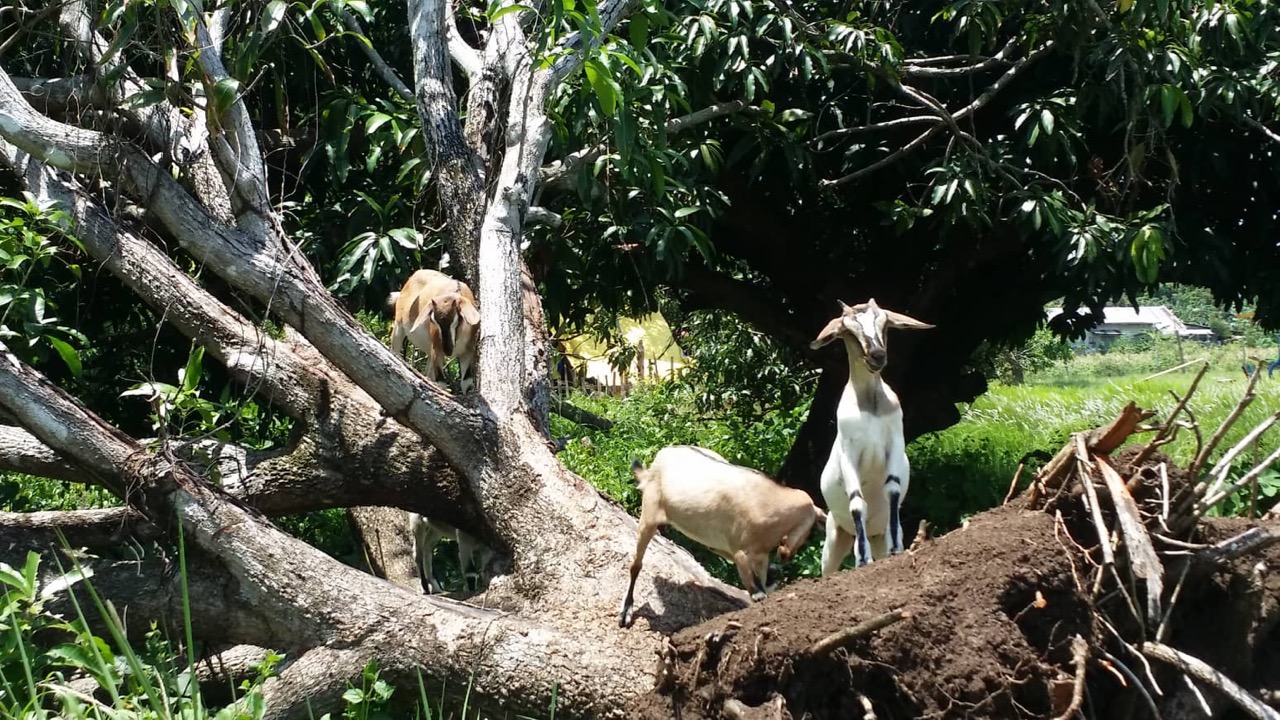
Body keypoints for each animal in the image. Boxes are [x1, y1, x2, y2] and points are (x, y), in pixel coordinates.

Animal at [622, 445, 829, 625]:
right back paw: (626, 611)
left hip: (711, 540)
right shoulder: (742, 553)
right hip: (649, 515)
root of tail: (657, 461)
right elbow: (757, 594)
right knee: (636, 564)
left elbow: (763, 587)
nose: (786, 555)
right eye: (811, 530)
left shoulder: (759, 556)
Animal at [814, 297, 936, 571]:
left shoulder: (895, 443)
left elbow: (892, 489)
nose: (877, 356)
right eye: (848, 330)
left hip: (875, 535)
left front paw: (895, 549)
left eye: (885, 324)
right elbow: (857, 501)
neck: (870, 404)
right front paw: (862, 559)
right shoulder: (850, 453)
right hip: (834, 538)